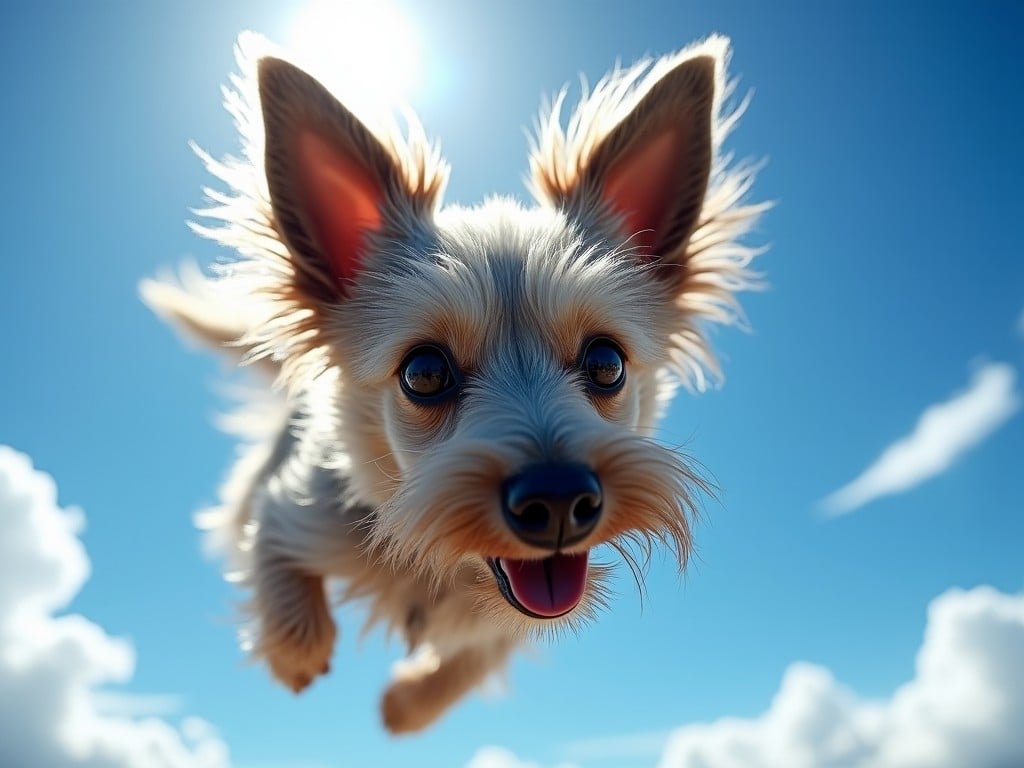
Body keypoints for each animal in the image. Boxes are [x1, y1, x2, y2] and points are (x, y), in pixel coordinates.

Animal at [142, 34, 770, 733]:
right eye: (424, 373)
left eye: (607, 362)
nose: (558, 500)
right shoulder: (288, 506)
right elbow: (270, 558)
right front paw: (296, 652)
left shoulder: (517, 618)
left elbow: (477, 656)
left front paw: (405, 705)